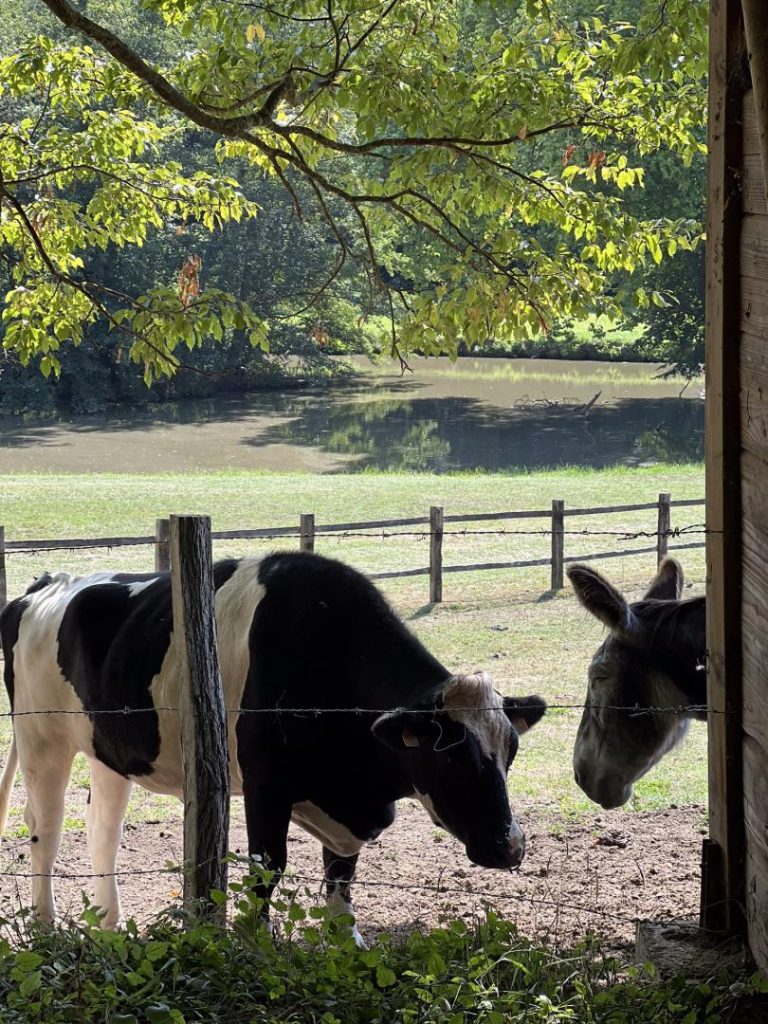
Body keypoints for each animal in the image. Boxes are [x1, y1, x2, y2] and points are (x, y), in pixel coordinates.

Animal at [3, 557, 548, 933]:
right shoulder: (266, 787)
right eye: (451, 758)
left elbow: (341, 876)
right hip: (41, 740)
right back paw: (47, 927)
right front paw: (255, 945)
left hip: (109, 750)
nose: (510, 846)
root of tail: (46, 584)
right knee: (45, 831)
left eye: (511, 754)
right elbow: (267, 870)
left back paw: (108, 924)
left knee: (102, 829)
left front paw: (346, 944)